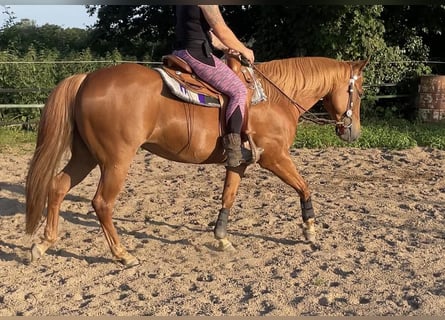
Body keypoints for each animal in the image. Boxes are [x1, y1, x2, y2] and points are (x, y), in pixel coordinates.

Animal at [25, 57, 368, 264]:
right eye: (360, 91)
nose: (354, 132)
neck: (273, 99)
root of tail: (86, 79)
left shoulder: (238, 162)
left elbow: (228, 196)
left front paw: (221, 238)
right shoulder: (274, 157)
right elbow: (304, 187)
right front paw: (310, 229)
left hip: (85, 156)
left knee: (57, 187)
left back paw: (44, 243)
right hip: (115, 161)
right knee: (101, 203)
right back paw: (123, 254)